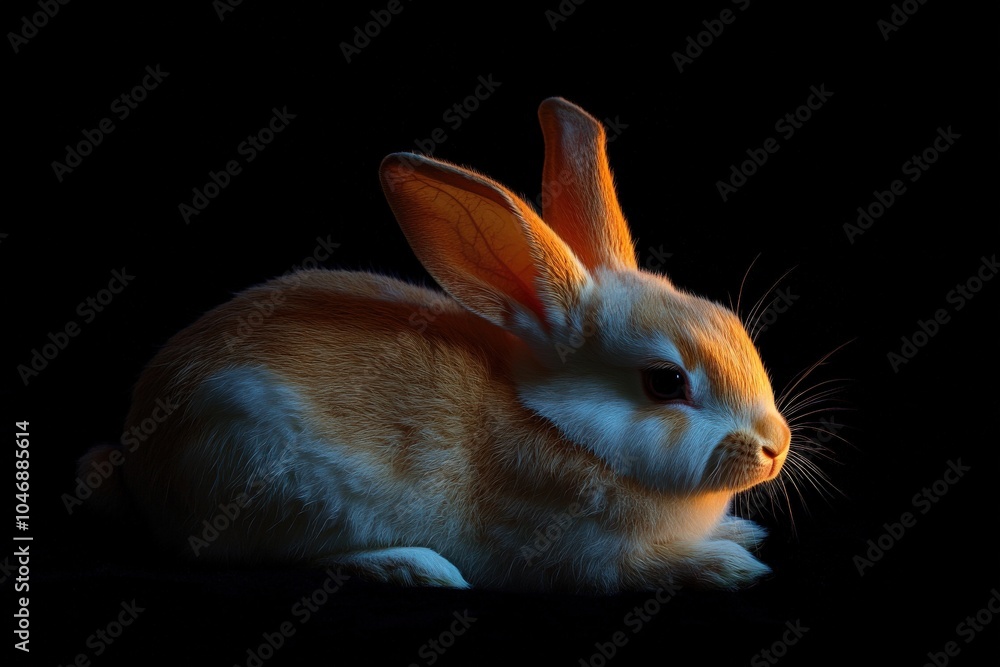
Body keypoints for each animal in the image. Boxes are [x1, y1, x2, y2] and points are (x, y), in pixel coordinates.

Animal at [78, 96, 790, 592]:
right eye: (666, 382)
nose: (776, 448)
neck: (563, 426)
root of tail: (141, 462)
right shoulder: (582, 557)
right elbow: (645, 568)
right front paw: (731, 566)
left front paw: (744, 532)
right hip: (272, 482)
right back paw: (418, 569)